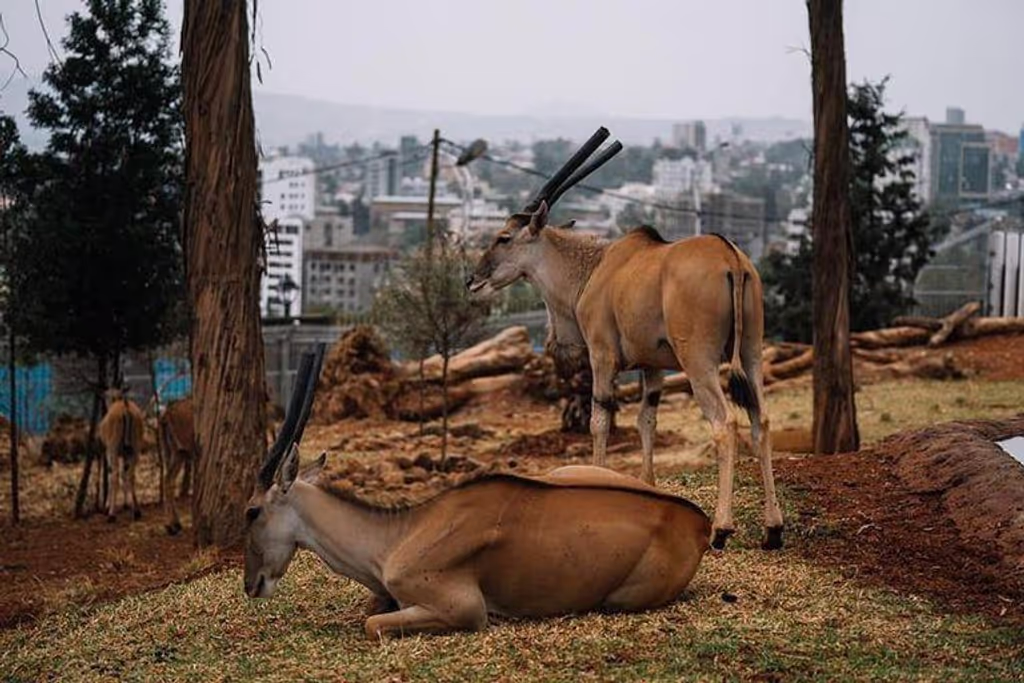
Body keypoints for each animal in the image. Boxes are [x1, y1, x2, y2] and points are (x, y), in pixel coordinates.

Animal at [98, 387, 146, 522]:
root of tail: (125, 406)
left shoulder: (108, 451)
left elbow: (111, 476)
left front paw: (107, 506)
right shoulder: (125, 454)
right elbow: (125, 475)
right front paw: (126, 504)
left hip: (113, 449)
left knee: (114, 476)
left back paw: (111, 514)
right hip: (135, 449)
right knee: (131, 475)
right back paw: (137, 511)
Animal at [244, 347, 711, 639]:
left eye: (251, 511)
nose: (251, 585)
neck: (398, 534)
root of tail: (699, 523)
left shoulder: (463, 609)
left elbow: (372, 624)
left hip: (619, 599)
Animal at [465, 128, 784, 550]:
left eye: (503, 238)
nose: (472, 280)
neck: (593, 267)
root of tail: (730, 257)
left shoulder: (602, 358)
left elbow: (600, 419)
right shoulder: (653, 368)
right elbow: (646, 420)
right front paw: (648, 489)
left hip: (699, 364)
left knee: (725, 422)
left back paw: (721, 529)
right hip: (751, 355)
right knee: (760, 418)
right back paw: (773, 529)